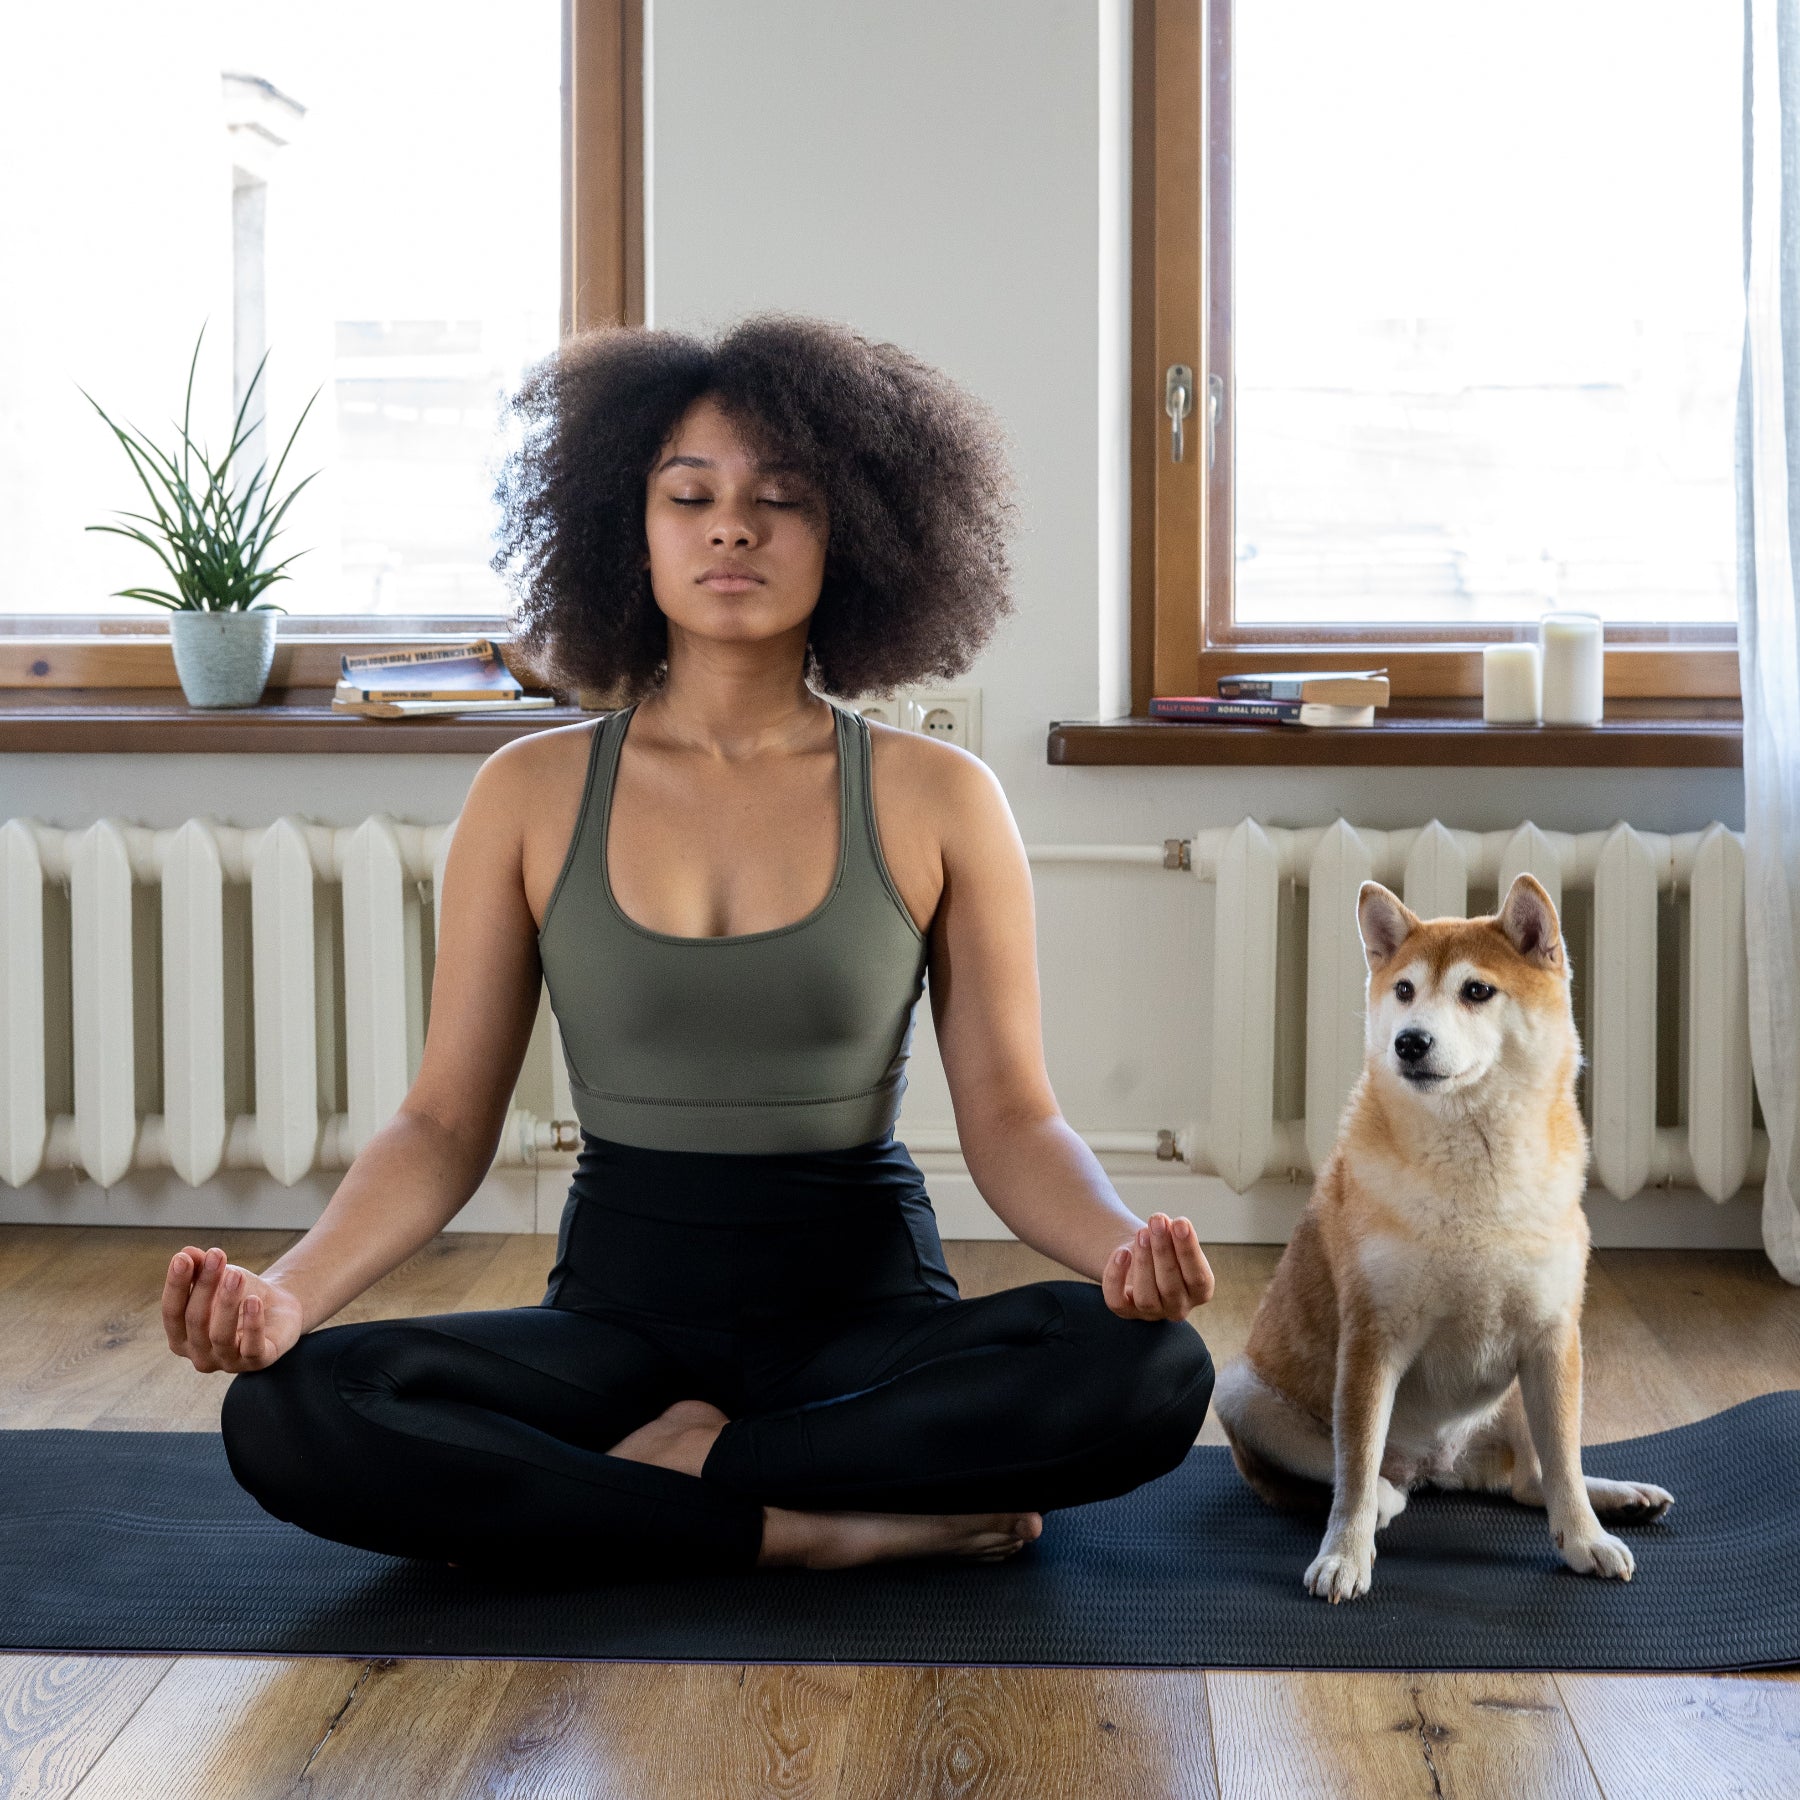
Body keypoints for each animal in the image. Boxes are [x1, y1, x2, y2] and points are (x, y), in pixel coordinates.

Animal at [1209, 871, 1670, 1605]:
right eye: (1403, 991)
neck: (1475, 1171)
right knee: (1367, 1480)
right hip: (1241, 1390)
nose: (1410, 1042)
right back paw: (1387, 1501)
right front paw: (1344, 1555)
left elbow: (1564, 1465)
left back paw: (1619, 1497)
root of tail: (1440, 1467)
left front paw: (1586, 1538)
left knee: (1531, 1479)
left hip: (1519, 1396)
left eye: (1476, 990)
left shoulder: (1552, 1337)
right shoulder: (1372, 1340)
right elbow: (1354, 1470)